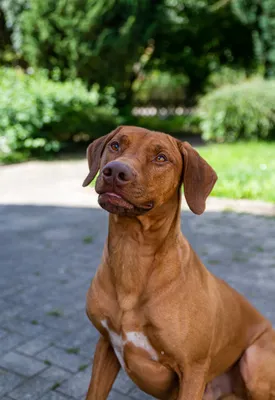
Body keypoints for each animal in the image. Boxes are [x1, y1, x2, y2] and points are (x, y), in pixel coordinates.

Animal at [82, 126, 275, 400]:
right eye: (116, 145)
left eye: (161, 158)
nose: (115, 171)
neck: (133, 251)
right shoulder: (106, 345)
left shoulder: (193, 369)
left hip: (254, 361)